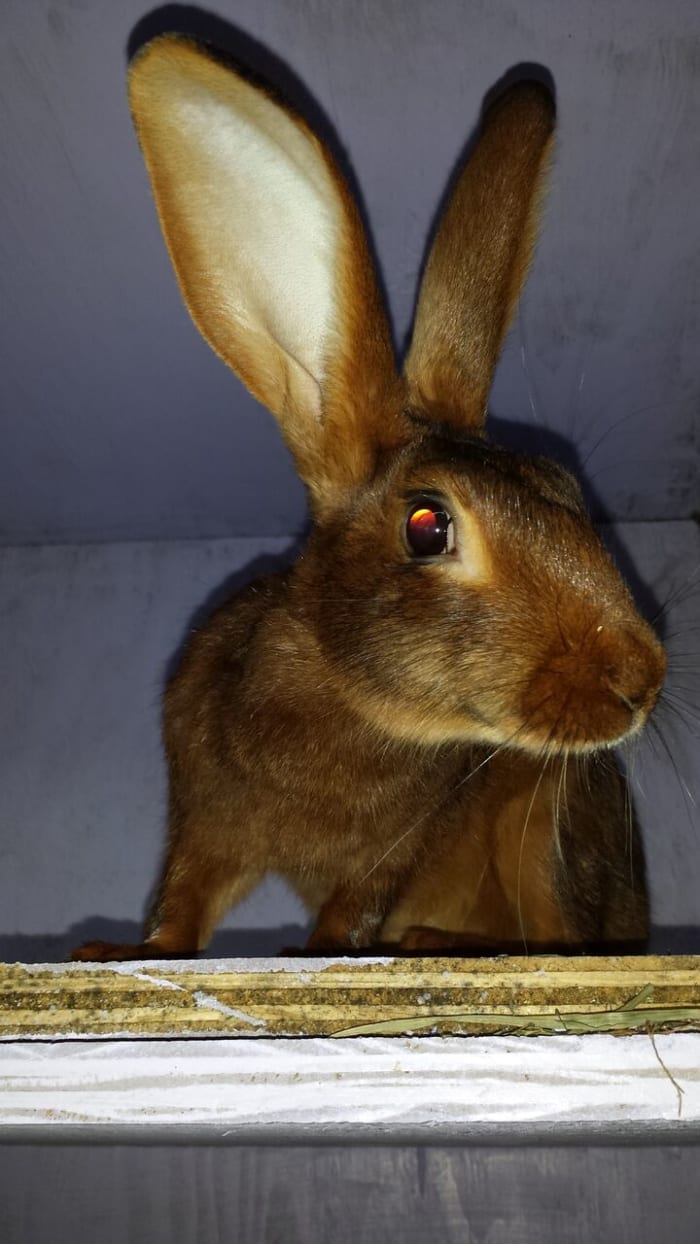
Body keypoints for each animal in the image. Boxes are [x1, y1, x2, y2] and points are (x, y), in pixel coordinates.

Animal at [72, 31, 666, 960]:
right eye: (427, 525)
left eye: (566, 489)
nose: (640, 679)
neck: (349, 699)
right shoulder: (203, 820)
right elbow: (184, 900)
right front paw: (126, 953)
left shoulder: (395, 854)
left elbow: (351, 912)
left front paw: (313, 954)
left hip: (546, 826)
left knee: (560, 931)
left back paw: (436, 942)